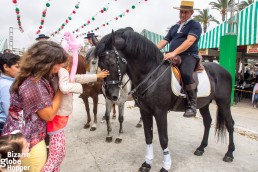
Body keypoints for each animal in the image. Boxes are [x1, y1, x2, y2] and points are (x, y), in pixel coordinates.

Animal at [95, 27, 236, 171]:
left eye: (112, 63)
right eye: (99, 65)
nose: (109, 94)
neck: (151, 74)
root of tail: (225, 71)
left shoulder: (160, 112)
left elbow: (163, 139)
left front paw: (165, 166)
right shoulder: (145, 111)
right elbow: (148, 136)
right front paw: (147, 163)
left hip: (223, 102)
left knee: (230, 124)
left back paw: (229, 154)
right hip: (204, 104)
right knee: (207, 122)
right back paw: (201, 148)